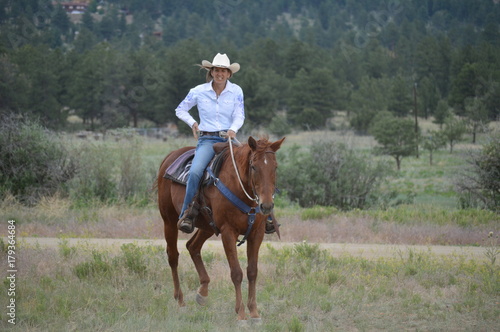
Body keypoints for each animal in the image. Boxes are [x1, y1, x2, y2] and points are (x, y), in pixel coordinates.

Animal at [158, 136, 286, 320]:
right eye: (253, 166)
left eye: (275, 167)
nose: (266, 205)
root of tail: (170, 156)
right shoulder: (228, 232)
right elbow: (236, 273)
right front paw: (241, 313)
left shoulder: (257, 233)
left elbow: (252, 271)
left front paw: (254, 312)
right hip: (169, 220)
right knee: (173, 256)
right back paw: (180, 300)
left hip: (207, 226)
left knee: (193, 246)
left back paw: (203, 292)